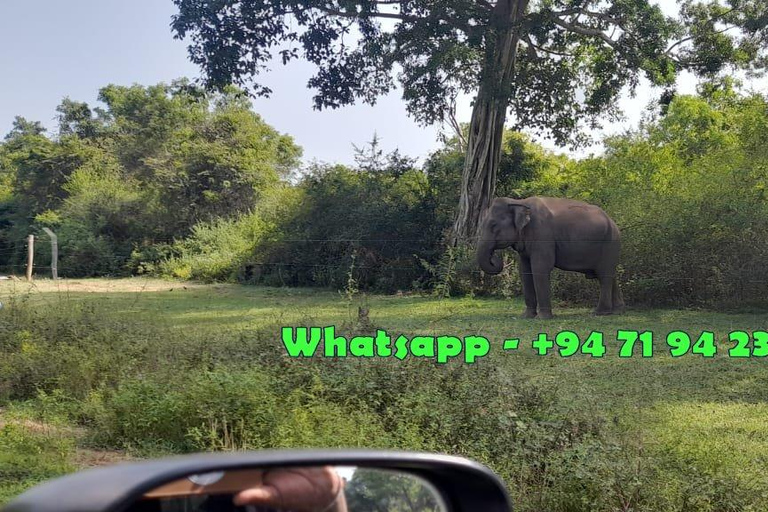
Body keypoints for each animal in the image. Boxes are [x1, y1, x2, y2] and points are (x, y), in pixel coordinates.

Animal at [480, 197, 624, 320]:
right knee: (611, 275)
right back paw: (617, 311)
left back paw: (599, 313)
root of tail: (613, 222)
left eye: (493, 225)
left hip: (610, 243)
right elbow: (524, 271)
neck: (518, 202)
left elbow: (540, 268)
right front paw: (526, 316)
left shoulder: (542, 234)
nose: (495, 257)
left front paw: (542, 318)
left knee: (604, 276)